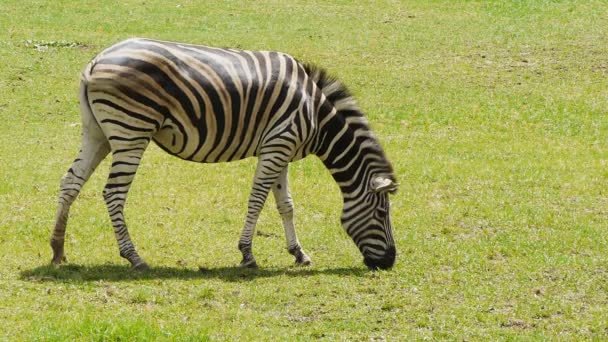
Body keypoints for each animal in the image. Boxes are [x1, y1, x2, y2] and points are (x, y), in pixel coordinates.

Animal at [48, 38, 400, 272]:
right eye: (383, 213)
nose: (389, 262)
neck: (317, 116)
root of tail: (96, 60)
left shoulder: (281, 149)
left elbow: (286, 205)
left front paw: (298, 253)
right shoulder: (278, 144)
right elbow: (257, 200)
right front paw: (247, 254)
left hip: (97, 132)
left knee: (70, 182)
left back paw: (58, 249)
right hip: (131, 131)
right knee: (113, 193)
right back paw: (134, 257)